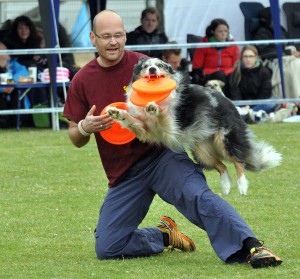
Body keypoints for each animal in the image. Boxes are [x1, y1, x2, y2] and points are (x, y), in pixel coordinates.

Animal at [106, 58, 282, 196]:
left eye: (160, 65)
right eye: (145, 66)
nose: (152, 69)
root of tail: (229, 101)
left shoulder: (170, 128)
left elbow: (163, 115)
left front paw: (154, 108)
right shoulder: (146, 130)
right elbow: (130, 119)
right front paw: (116, 112)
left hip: (224, 139)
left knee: (239, 160)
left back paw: (242, 186)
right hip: (201, 151)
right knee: (222, 166)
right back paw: (226, 187)